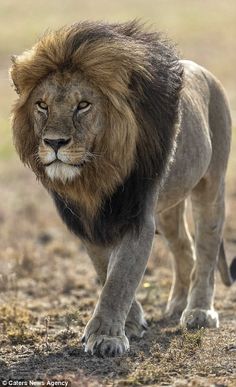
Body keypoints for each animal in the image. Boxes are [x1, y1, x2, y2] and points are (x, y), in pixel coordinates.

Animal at [8, 21, 234, 358]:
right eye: (42, 105)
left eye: (83, 105)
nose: (54, 142)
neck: (94, 176)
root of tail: (206, 72)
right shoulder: (88, 221)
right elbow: (105, 271)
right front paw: (131, 322)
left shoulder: (137, 215)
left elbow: (120, 278)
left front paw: (106, 337)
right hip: (168, 206)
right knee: (184, 247)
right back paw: (177, 304)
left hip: (212, 184)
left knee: (206, 247)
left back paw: (198, 312)